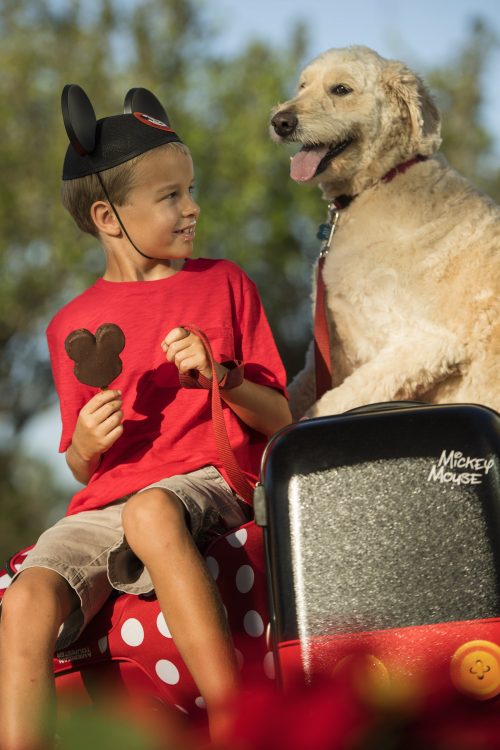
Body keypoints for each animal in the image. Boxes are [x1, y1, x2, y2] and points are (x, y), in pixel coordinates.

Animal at [272, 44, 498, 420]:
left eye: (341, 89)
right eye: (302, 86)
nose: (280, 122)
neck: (380, 181)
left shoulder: (425, 343)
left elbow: (333, 401)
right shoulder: (333, 347)